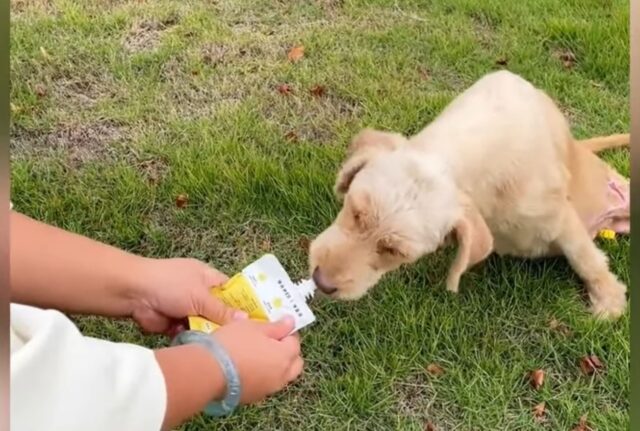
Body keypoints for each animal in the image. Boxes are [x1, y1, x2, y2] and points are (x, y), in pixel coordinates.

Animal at [310, 71, 632, 318]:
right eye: (354, 211)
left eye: (395, 252)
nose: (320, 282)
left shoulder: (559, 218)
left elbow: (585, 258)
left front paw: (609, 301)